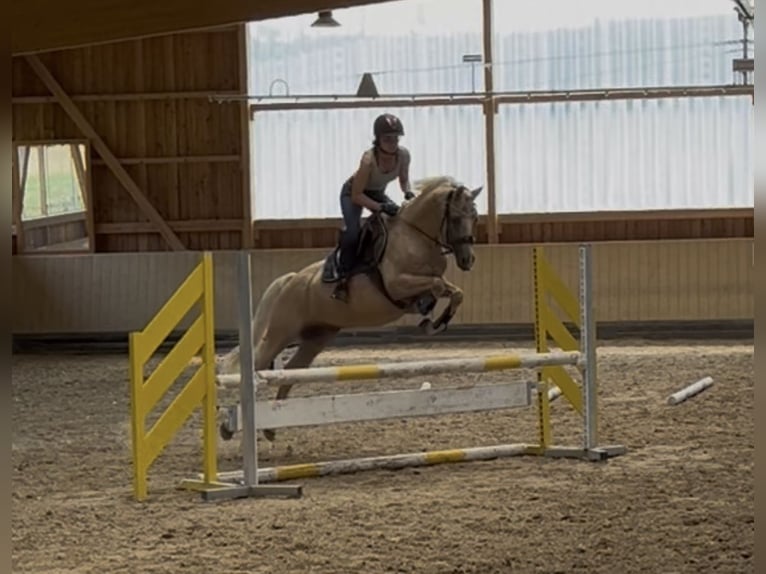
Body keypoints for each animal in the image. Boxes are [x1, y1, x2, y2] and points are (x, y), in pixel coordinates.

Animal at [218, 175, 483, 441]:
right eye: (456, 217)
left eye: (475, 217)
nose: (468, 260)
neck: (416, 236)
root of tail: (291, 280)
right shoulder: (397, 285)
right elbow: (437, 285)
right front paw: (433, 320)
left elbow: (452, 292)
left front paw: (436, 322)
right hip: (281, 333)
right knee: (258, 365)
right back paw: (227, 427)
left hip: (316, 338)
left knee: (291, 371)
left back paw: (272, 426)